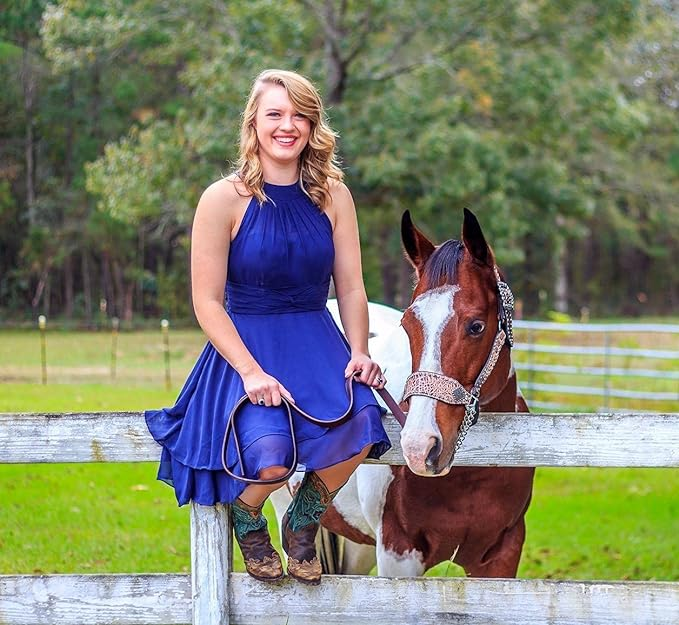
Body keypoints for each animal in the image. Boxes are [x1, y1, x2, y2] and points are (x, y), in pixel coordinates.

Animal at [272, 208, 536, 576]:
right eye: (408, 324)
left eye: (476, 326)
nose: (419, 447)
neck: (473, 474)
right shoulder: (398, 554)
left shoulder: (502, 556)